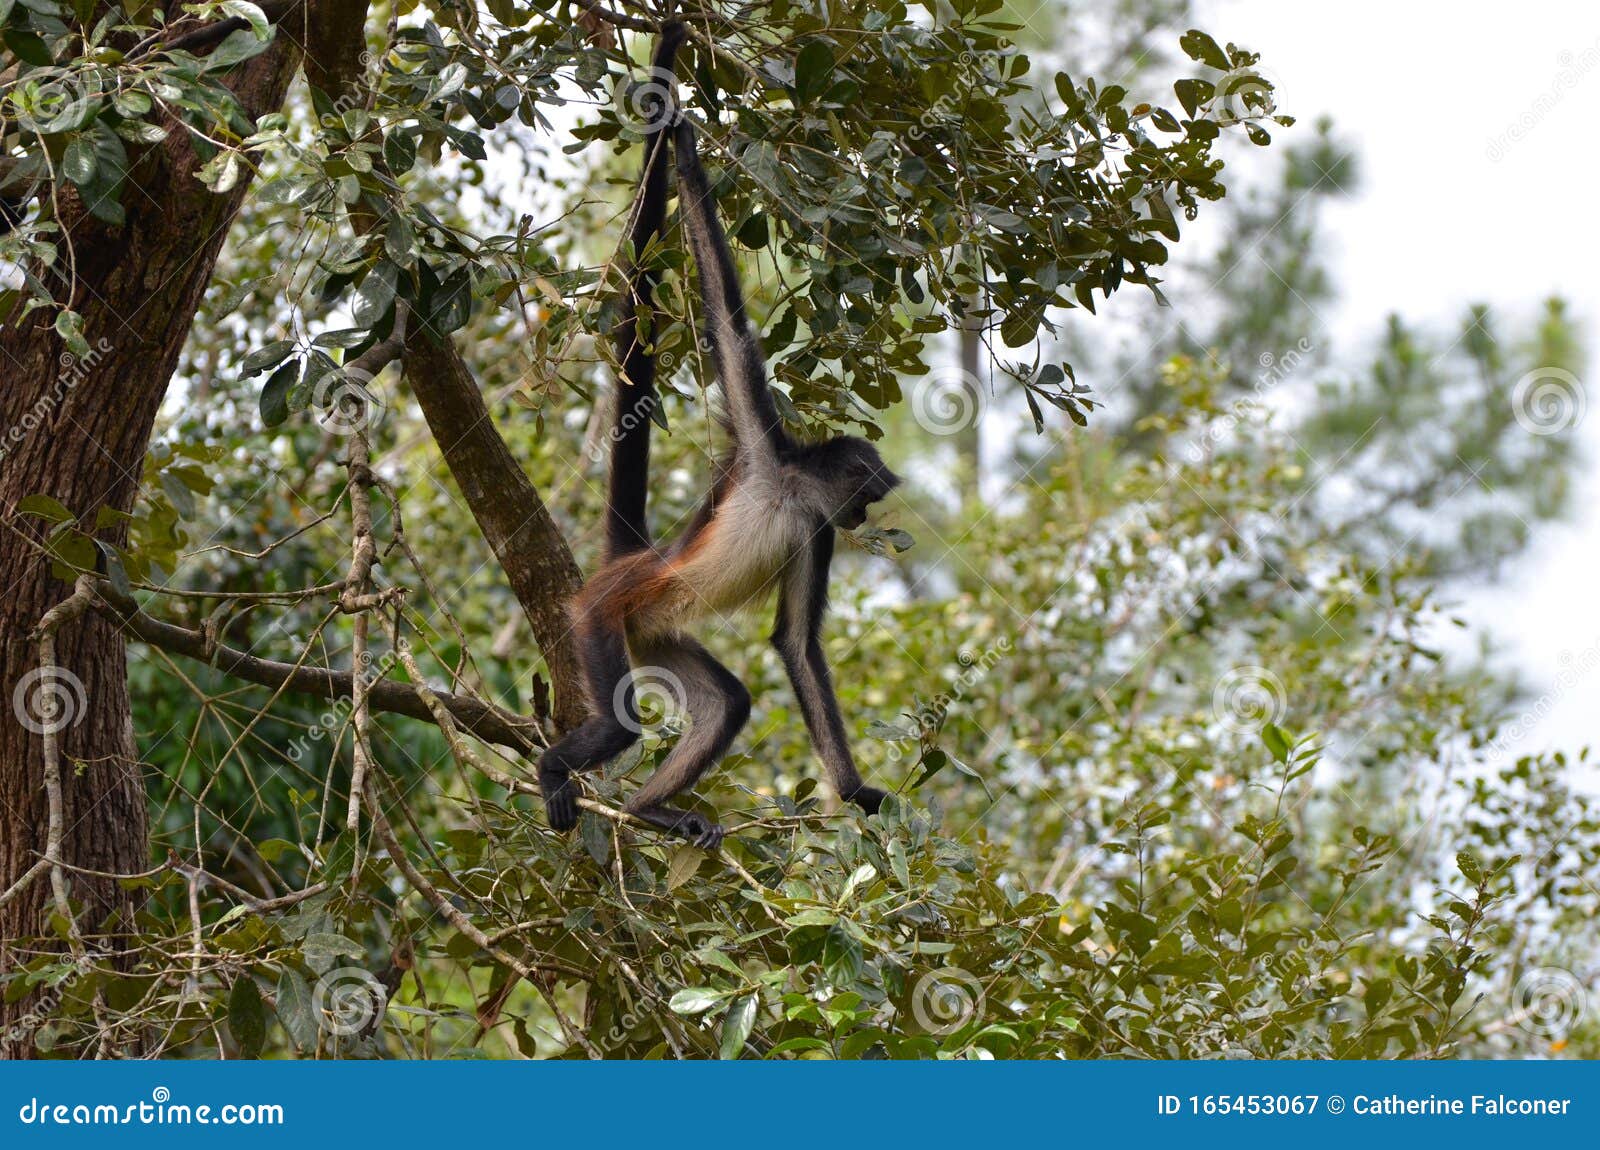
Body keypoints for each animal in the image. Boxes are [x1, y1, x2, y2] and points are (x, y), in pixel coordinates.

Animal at [544, 24, 902, 857]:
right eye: (868, 498)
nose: (867, 518)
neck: (794, 490)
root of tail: (634, 564)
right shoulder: (763, 443)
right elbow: (727, 316)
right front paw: (683, 144)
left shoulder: (815, 530)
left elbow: (796, 647)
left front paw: (854, 792)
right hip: (605, 614)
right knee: (619, 724)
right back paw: (556, 770)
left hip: (653, 629)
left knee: (728, 702)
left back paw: (651, 812)